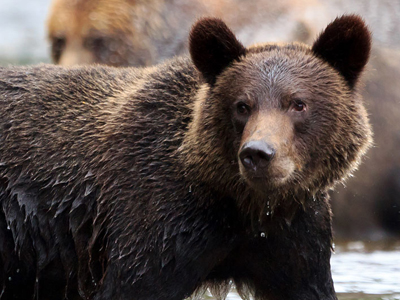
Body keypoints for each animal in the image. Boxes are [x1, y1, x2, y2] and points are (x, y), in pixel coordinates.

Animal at [0, 15, 370, 300]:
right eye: (242, 105)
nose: (258, 153)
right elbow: (131, 285)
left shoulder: (292, 236)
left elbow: (306, 284)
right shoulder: (155, 224)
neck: (240, 203)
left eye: (298, 103)